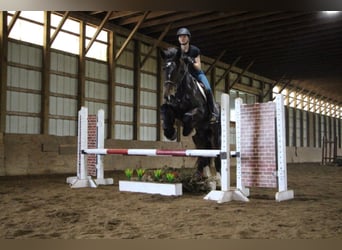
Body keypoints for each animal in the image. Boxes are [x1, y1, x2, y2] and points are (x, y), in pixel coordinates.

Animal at [161, 47, 222, 180]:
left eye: (180, 70)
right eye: (164, 69)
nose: (168, 94)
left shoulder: (200, 111)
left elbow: (187, 116)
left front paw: (186, 130)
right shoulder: (174, 109)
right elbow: (165, 109)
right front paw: (170, 133)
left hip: (215, 135)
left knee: (217, 154)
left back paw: (218, 178)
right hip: (200, 137)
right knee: (203, 154)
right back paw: (200, 176)